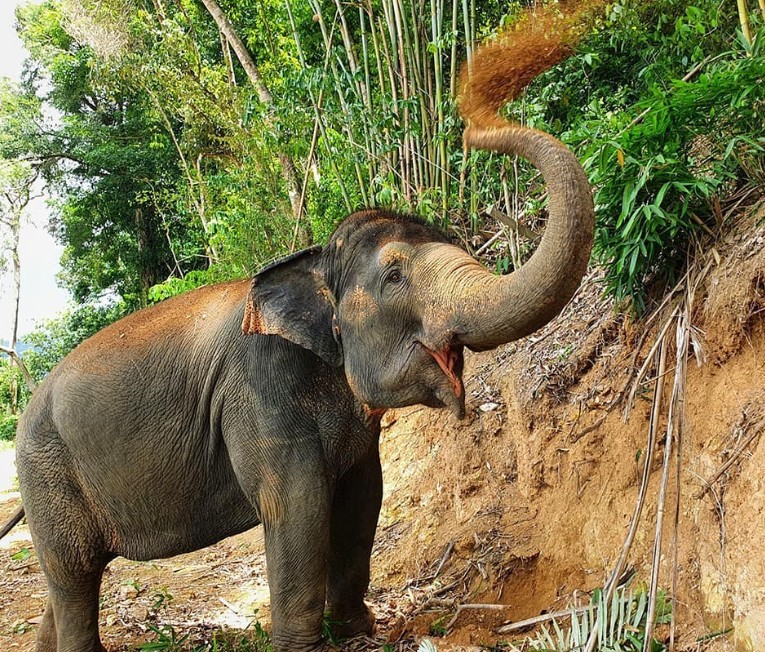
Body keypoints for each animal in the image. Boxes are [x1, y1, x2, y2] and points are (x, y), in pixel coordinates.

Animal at [10, 122, 593, 652]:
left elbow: (363, 497)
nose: (474, 131)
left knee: (68, 581)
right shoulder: (258, 393)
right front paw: (308, 647)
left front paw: (358, 631)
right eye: (394, 277)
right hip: (46, 474)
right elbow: (299, 506)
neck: (312, 261)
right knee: (73, 571)